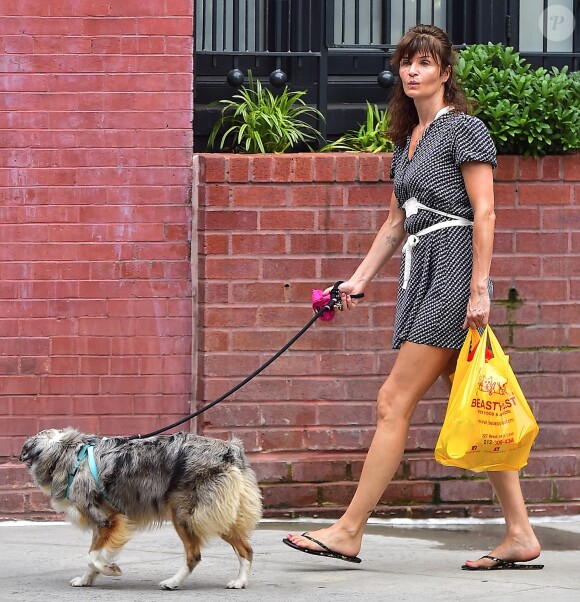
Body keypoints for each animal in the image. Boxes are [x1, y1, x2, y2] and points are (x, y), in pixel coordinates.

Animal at [18, 428, 262, 588]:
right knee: (246, 549)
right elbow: (92, 557)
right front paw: (86, 580)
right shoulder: (101, 524)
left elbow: (92, 557)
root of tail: (230, 449)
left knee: (194, 555)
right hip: (217, 513)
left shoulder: (107, 519)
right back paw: (240, 581)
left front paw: (110, 569)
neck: (68, 454)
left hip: (187, 514)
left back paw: (172, 582)